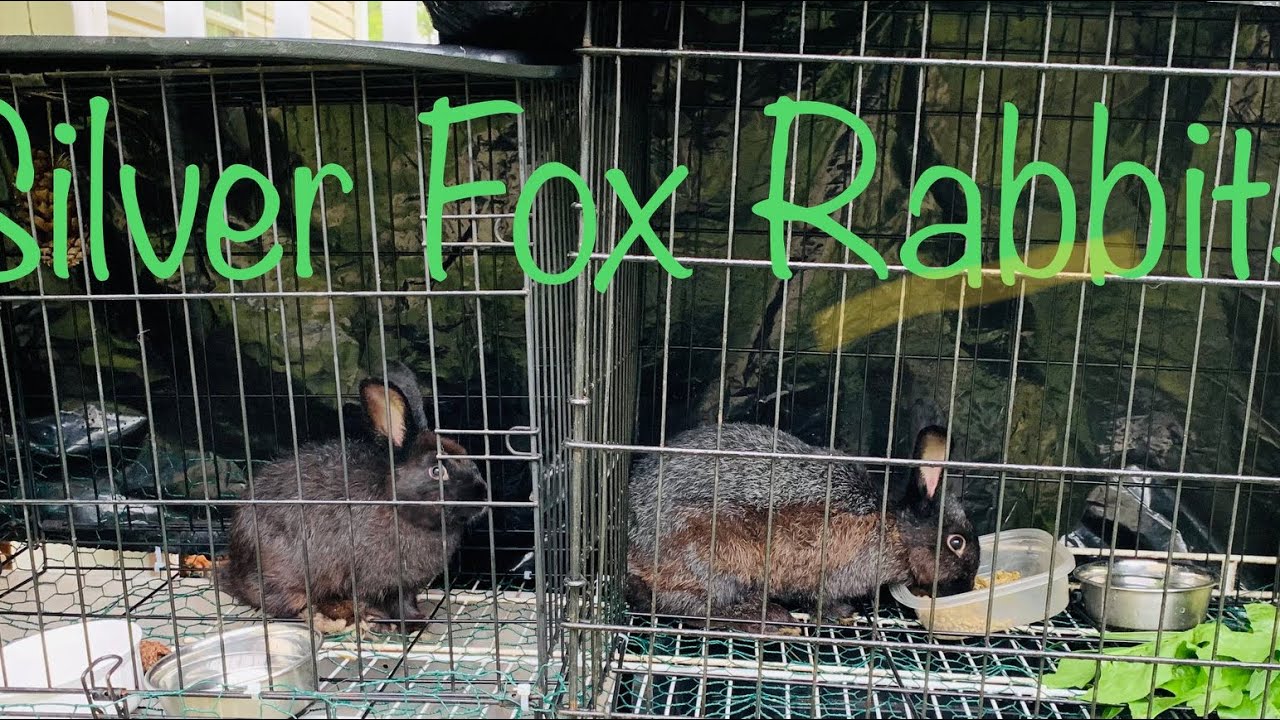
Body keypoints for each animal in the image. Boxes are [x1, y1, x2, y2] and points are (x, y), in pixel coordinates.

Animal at [219, 362, 489, 624]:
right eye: (436, 471)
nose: (483, 495)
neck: (398, 506)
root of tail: (234, 568)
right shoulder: (379, 581)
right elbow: (392, 603)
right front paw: (405, 623)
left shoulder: (406, 586)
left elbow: (407, 602)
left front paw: (418, 619)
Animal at [625, 422, 979, 631]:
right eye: (956, 542)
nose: (967, 586)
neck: (893, 531)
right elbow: (818, 598)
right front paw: (844, 612)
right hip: (716, 555)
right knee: (688, 607)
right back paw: (772, 620)